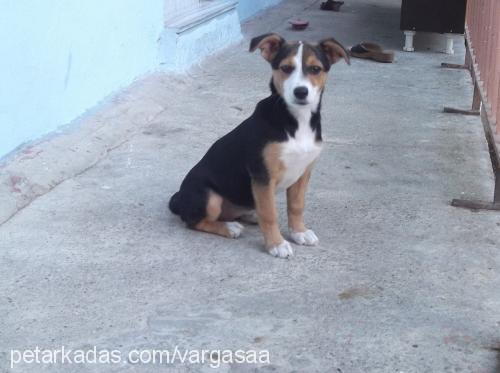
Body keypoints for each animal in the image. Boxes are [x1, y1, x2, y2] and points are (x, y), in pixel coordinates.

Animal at [168, 33, 348, 258]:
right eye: (286, 68)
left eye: (315, 69)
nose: (300, 92)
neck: (296, 120)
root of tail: (179, 199)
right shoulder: (263, 175)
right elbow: (269, 213)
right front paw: (276, 244)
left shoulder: (303, 172)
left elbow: (296, 206)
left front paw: (299, 232)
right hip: (209, 197)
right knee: (194, 221)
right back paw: (229, 227)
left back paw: (249, 216)